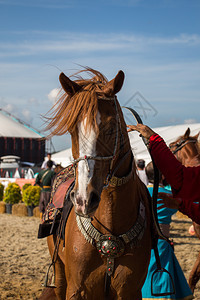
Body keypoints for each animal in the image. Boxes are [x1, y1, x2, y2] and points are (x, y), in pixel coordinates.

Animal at [43, 68, 151, 300]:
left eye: (110, 129)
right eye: (72, 130)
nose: (84, 200)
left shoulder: (129, 290)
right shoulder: (77, 288)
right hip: (59, 272)